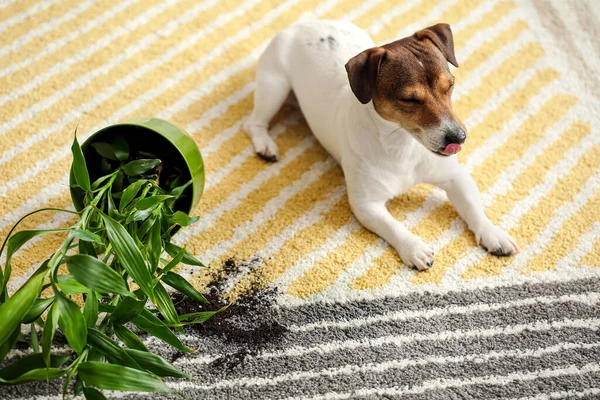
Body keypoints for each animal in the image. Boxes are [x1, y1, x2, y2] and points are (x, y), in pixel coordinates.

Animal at [244, 20, 520, 270]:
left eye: (449, 85)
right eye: (409, 99)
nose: (458, 137)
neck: (403, 145)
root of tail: (303, 23)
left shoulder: (455, 177)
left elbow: (473, 207)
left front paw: (492, 232)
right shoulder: (366, 204)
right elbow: (393, 225)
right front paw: (413, 247)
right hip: (274, 87)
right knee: (253, 122)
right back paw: (265, 145)